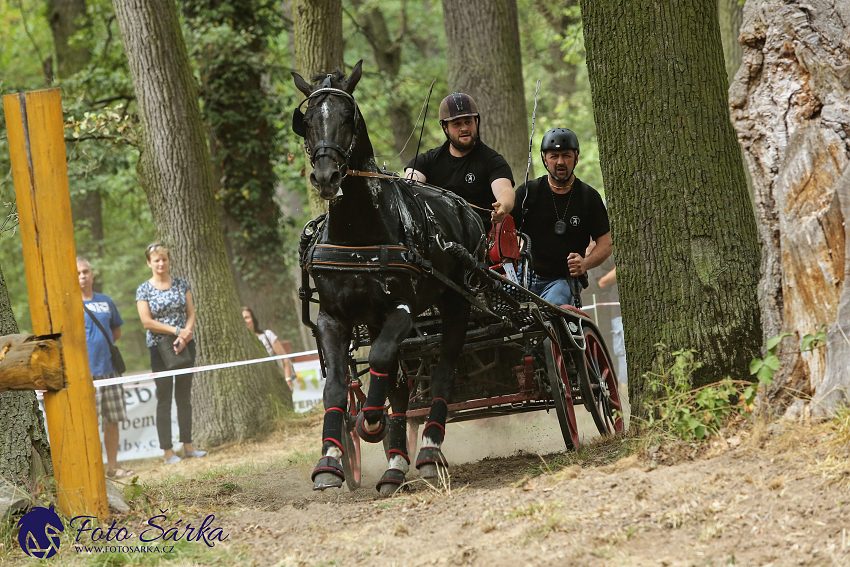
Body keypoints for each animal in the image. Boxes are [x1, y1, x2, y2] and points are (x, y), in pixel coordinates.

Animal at [292, 62, 484, 494]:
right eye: (307, 120)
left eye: (348, 117)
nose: (326, 177)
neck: (358, 235)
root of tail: (464, 207)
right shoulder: (333, 317)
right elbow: (336, 384)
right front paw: (330, 459)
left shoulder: (402, 309)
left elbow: (380, 358)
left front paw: (371, 420)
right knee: (398, 384)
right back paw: (395, 464)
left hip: (456, 302)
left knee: (443, 370)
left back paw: (428, 451)